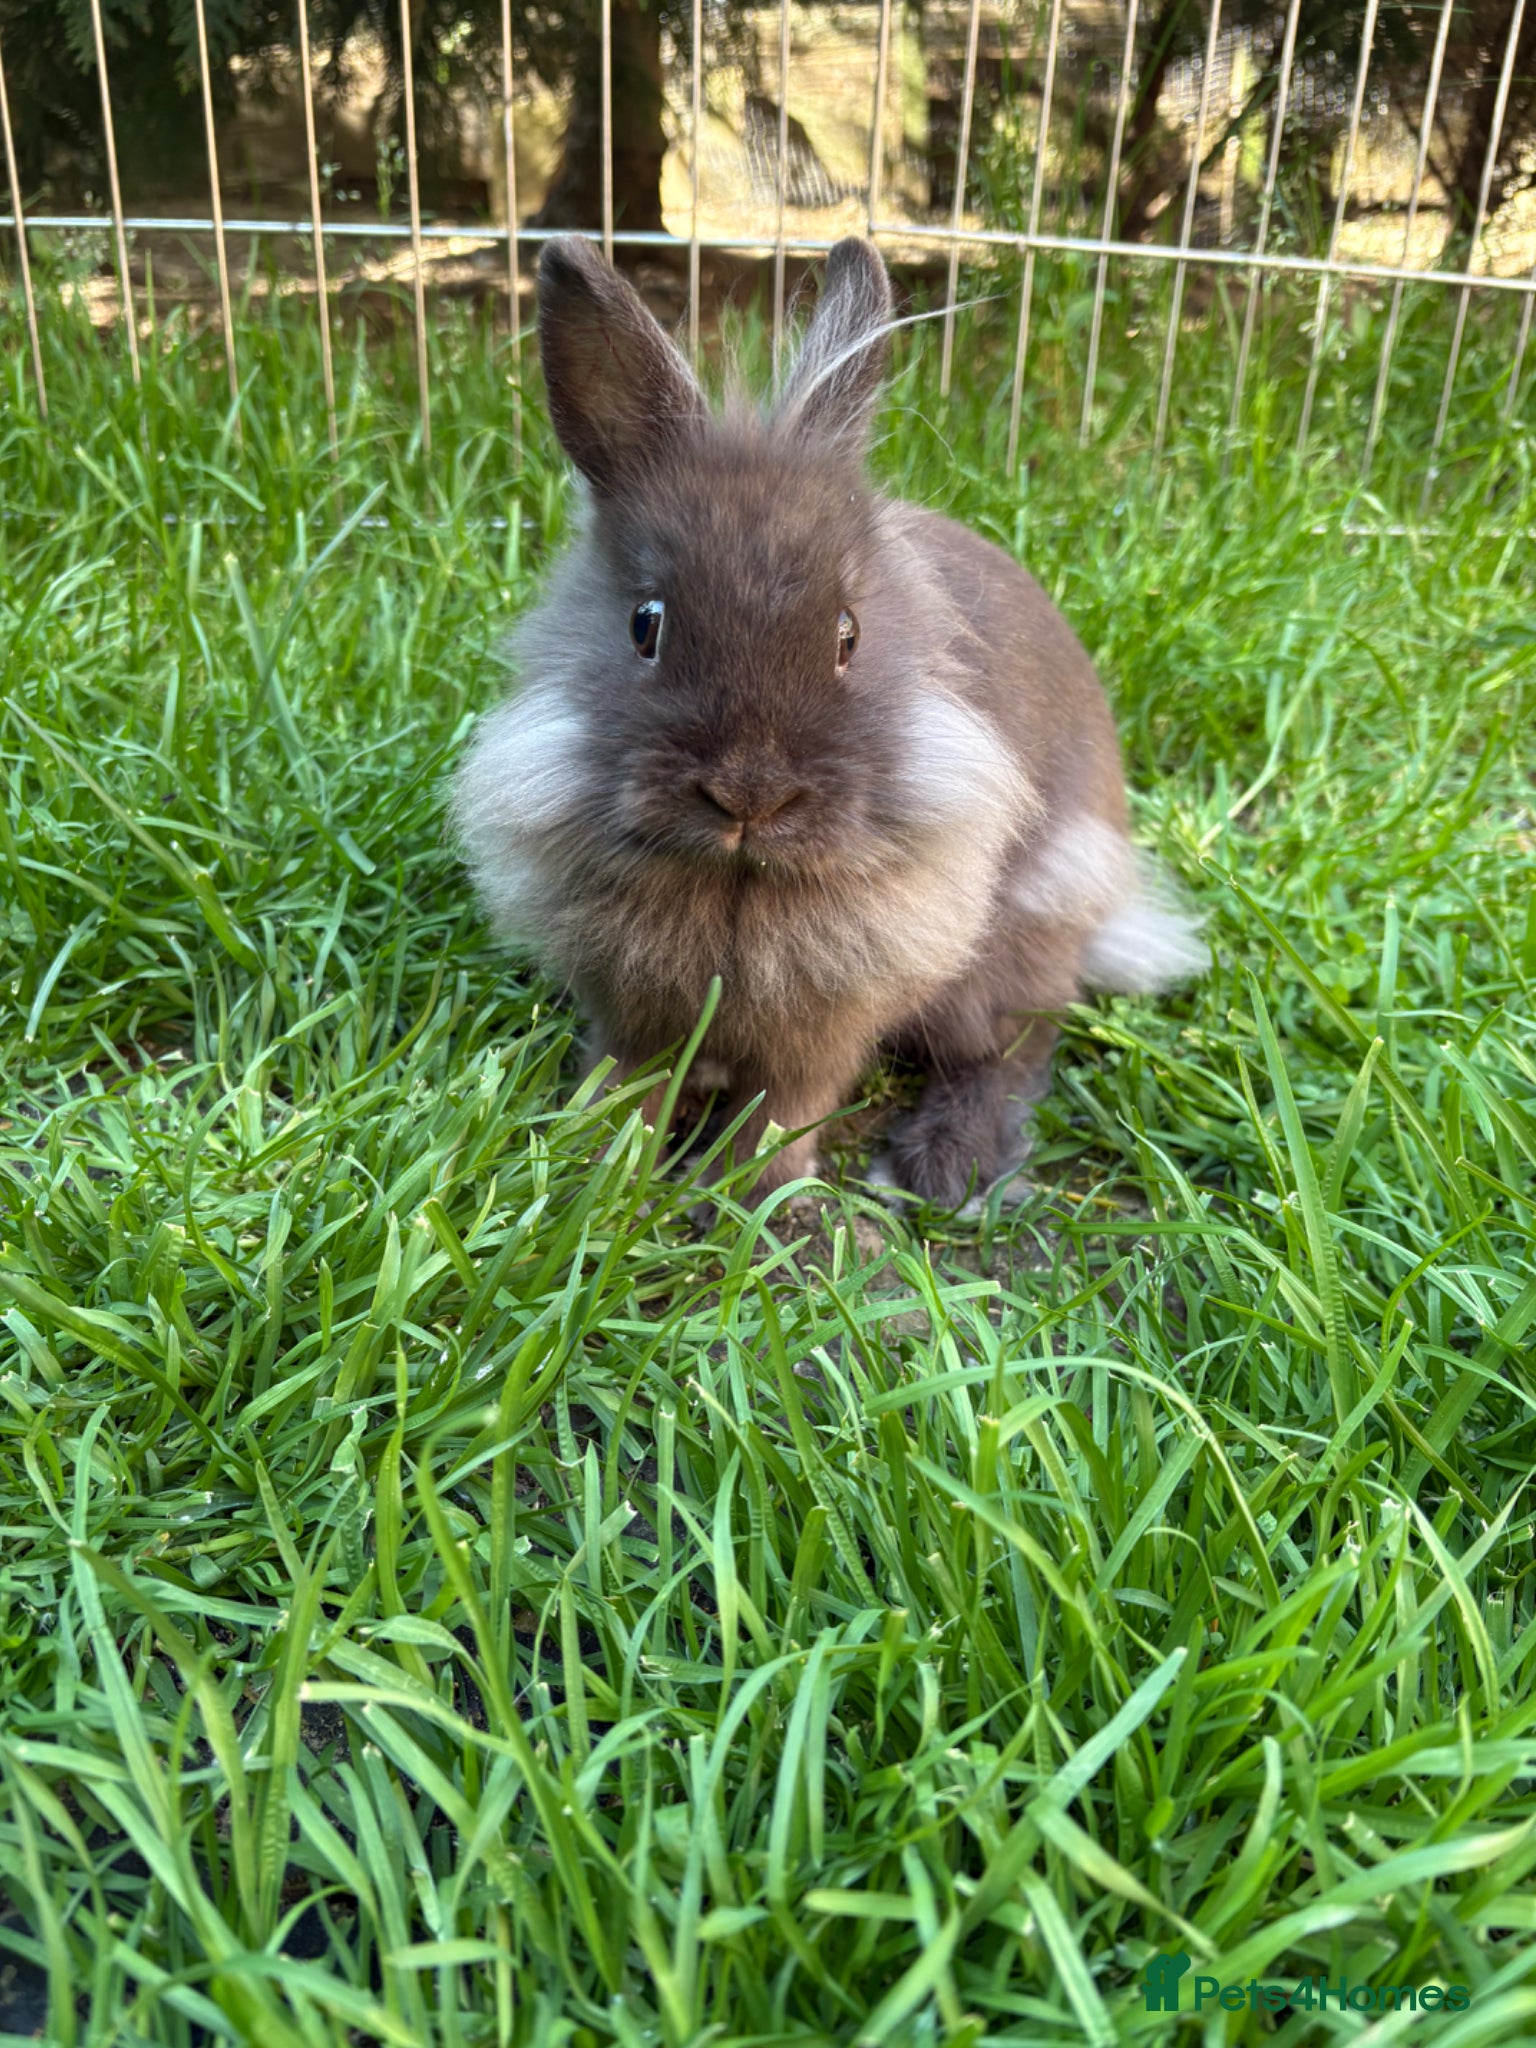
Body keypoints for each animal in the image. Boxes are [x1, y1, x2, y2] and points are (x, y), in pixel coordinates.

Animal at [451, 234, 1207, 1211]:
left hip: (1017, 943)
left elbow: (787, 1105)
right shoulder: (632, 1010)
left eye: (849, 633)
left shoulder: (831, 1016)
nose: (749, 795)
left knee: (1012, 1048)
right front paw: (597, 1172)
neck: (737, 881)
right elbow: (627, 1084)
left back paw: (945, 1166)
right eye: (645, 625)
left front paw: (752, 1204)